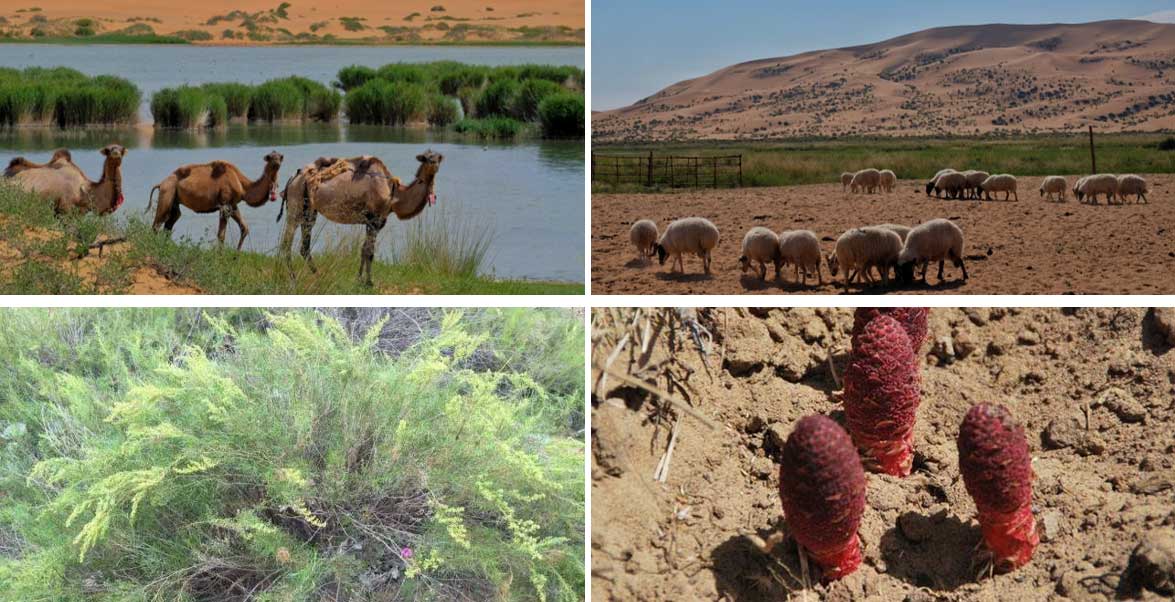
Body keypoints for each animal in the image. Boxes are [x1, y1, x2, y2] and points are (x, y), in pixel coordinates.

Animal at [146, 154, 284, 252]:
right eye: (270, 157)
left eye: (280, 156)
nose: (277, 163)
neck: (243, 186)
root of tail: (161, 183)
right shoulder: (224, 204)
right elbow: (221, 234)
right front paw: (220, 256)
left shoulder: (233, 205)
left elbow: (244, 227)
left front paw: (236, 254)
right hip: (167, 192)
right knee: (157, 223)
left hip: (174, 201)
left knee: (169, 224)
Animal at [279, 150, 444, 286]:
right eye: (427, 158)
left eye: (438, 158)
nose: (435, 164)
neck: (394, 194)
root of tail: (292, 178)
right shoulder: (374, 219)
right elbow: (370, 252)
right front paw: (369, 282)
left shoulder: (374, 221)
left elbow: (364, 249)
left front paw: (359, 279)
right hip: (295, 205)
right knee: (286, 244)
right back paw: (294, 279)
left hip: (309, 211)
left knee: (304, 247)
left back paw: (318, 276)